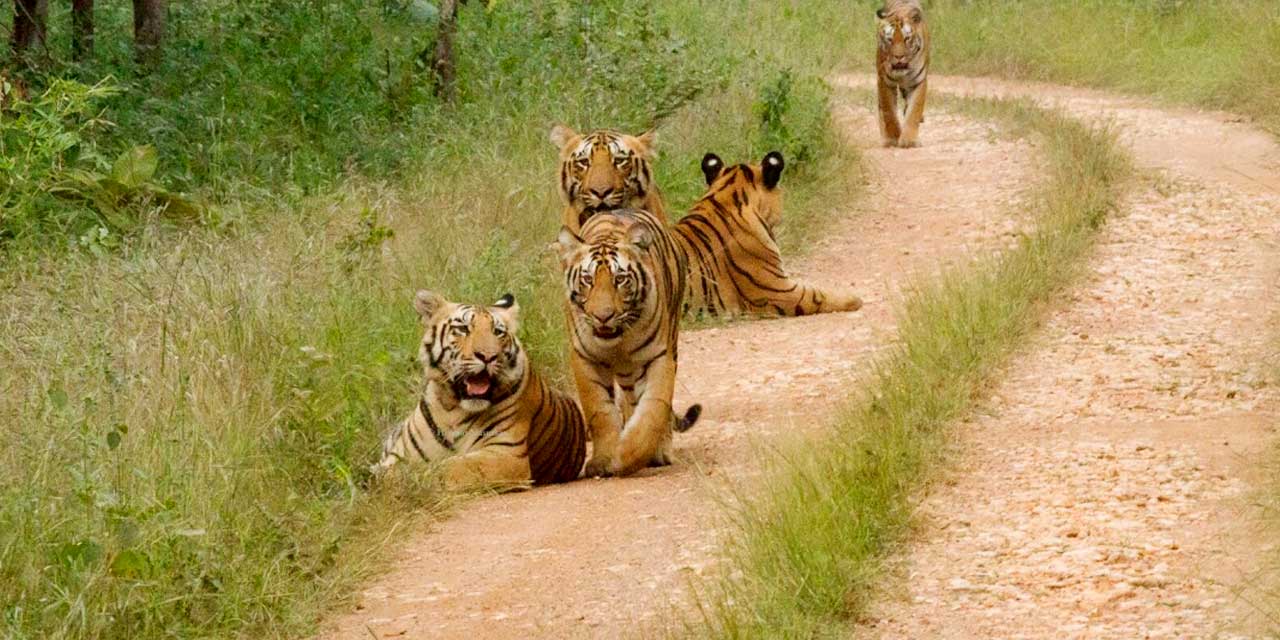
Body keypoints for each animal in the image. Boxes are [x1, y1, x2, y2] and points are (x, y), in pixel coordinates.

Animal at [372, 291, 587, 491]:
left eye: (498, 332)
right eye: (463, 329)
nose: (488, 356)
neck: (452, 408)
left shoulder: (506, 454)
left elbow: (452, 466)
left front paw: (416, 480)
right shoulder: (401, 453)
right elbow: (390, 470)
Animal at [553, 208, 701, 478]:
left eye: (620, 279)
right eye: (587, 279)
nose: (603, 316)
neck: (618, 342)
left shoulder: (658, 357)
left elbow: (653, 409)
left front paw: (627, 456)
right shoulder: (585, 359)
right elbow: (600, 411)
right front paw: (603, 460)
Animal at [876, 0, 930, 148]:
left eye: (906, 39)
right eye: (890, 39)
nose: (898, 57)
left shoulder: (918, 82)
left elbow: (914, 111)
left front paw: (909, 140)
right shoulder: (885, 82)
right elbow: (889, 112)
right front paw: (894, 137)